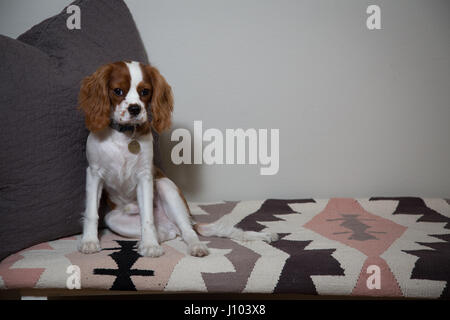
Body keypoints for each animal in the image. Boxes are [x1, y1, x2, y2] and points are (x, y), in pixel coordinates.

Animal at [76, 60, 278, 258]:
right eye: (118, 91)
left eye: (145, 92)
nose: (135, 108)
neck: (124, 136)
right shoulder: (94, 174)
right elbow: (91, 212)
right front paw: (89, 241)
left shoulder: (145, 176)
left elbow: (147, 217)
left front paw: (150, 245)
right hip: (113, 219)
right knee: (170, 233)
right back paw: (148, 239)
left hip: (165, 186)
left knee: (187, 231)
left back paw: (195, 246)